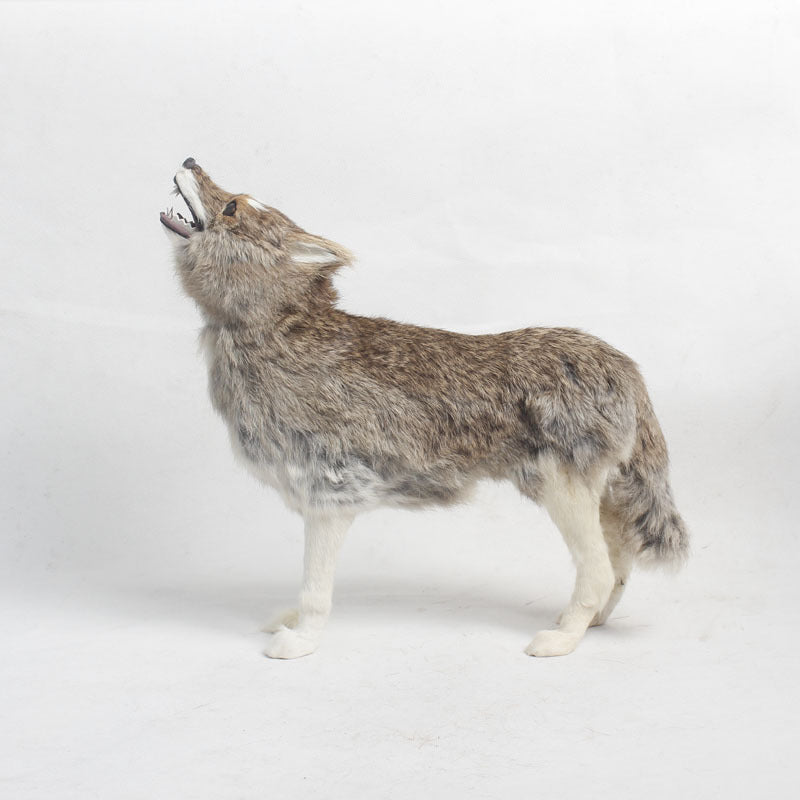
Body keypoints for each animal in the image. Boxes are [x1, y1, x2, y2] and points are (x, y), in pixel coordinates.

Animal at [161, 157, 688, 659]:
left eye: (233, 208)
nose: (188, 160)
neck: (276, 329)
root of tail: (624, 367)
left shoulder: (328, 495)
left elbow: (315, 588)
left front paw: (300, 642)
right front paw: (290, 623)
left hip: (564, 491)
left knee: (599, 569)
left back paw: (560, 639)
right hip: (601, 493)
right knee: (621, 560)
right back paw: (589, 622)